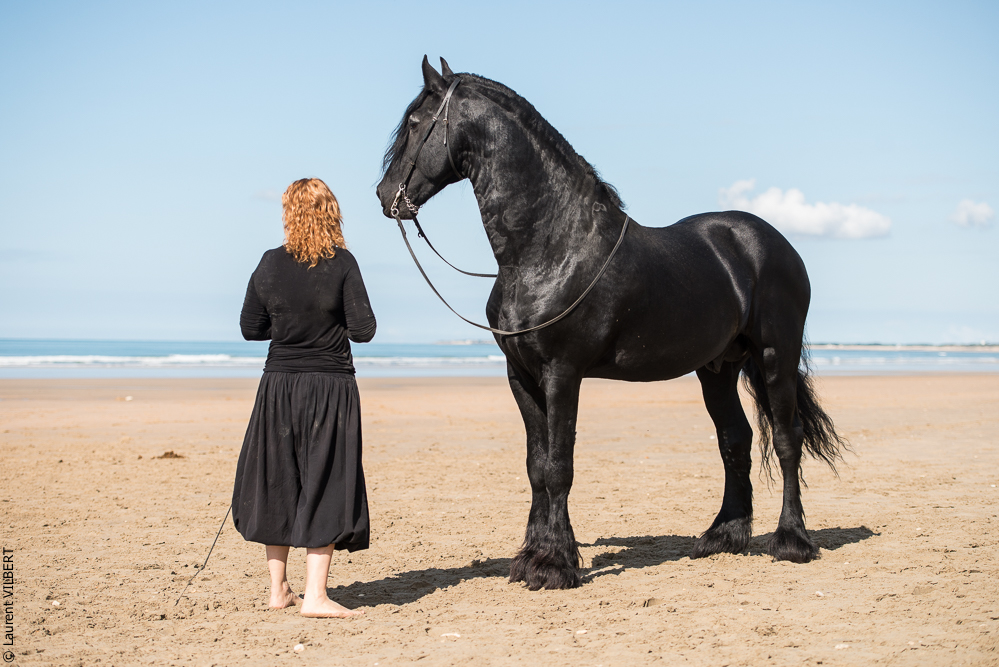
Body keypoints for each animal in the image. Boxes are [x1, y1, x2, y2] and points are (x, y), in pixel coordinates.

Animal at [376, 56, 847, 590]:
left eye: (416, 124)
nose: (385, 195)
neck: (550, 248)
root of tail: (776, 243)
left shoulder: (562, 374)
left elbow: (559, 467)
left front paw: (554, 564)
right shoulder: (521, 376)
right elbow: (536, 466)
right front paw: (531, 557)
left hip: (774, 357)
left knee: (787, 440)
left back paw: (791, 541)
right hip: (717, 368)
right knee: (736, 440)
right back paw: (723, 536)